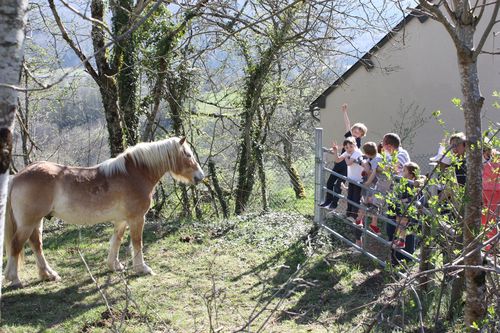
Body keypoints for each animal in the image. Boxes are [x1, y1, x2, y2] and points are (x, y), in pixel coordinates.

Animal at [3, 136, 203, 286]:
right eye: (188, 154)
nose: (200, 177)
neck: (134, 174)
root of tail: (17, 176)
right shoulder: (137, 218)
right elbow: (137, 242)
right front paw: (142, 268)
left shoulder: (121, 220)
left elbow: (116, 240)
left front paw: (114, 265)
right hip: (29, 221)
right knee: (16, 244)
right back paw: (14, 279)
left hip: (37, 220)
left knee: (36, 244)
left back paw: (48, 274)